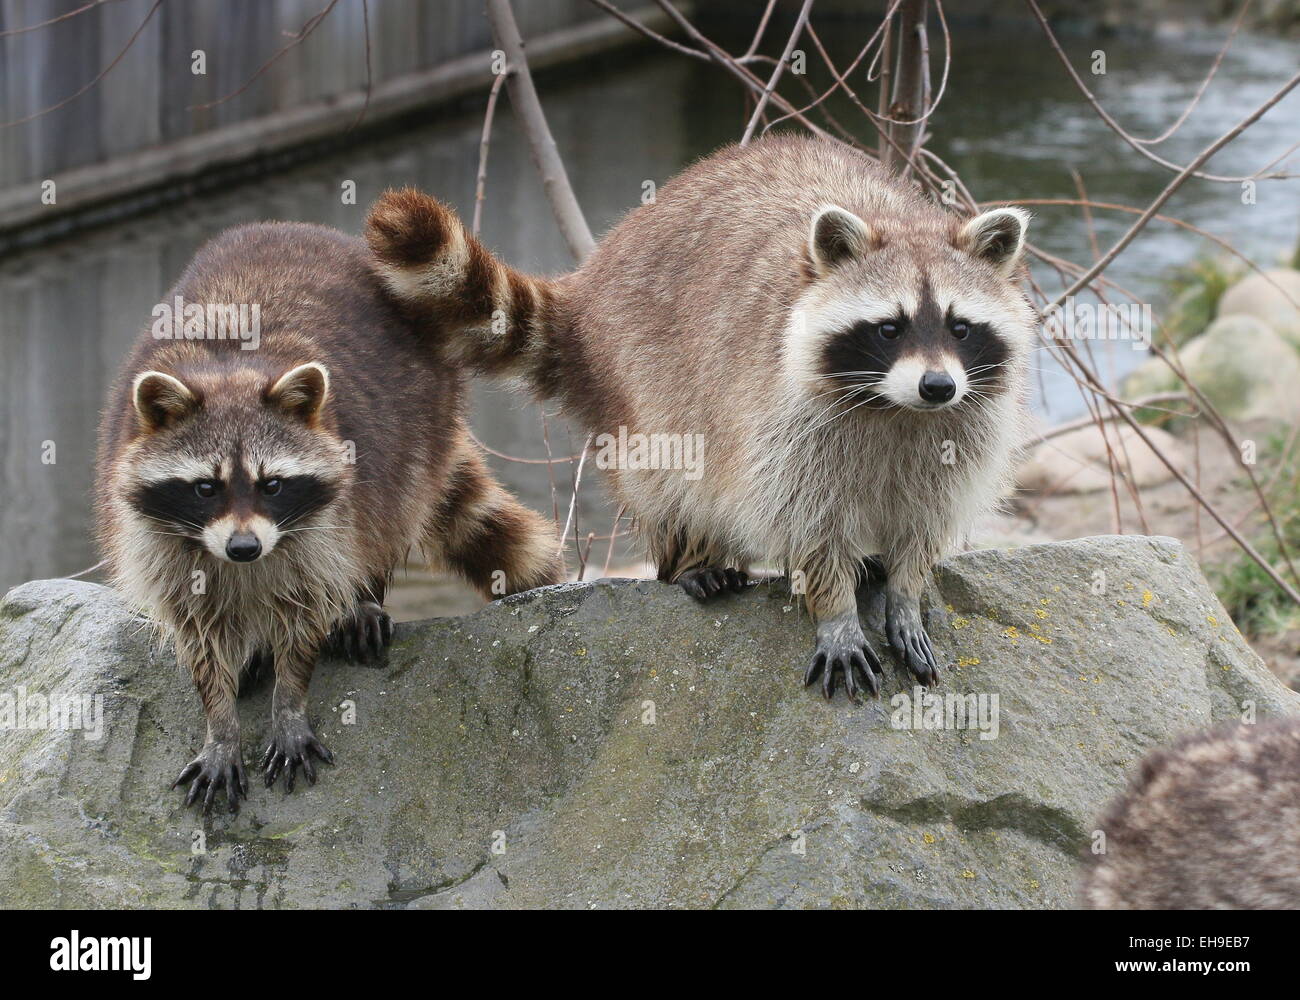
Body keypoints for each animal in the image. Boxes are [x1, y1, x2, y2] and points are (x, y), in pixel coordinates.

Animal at [91, 221, 559, 811]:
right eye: (205, 488)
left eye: (272, 484)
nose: (244, 549)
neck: (230, 367)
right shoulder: (159, 542)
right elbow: (200, 635)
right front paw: (220, 721)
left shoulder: (330, 521)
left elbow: (308, 608)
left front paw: (289, 701)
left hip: (423, 417)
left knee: (391, 513)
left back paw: (363, 599)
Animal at [366, 136, 1034, 697]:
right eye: (890, 328)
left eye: (960, 326)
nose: (938, 386)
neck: (896, 409)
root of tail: (592, 284)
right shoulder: (778, 409)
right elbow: (803, 515)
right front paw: (835, 607)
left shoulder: (964, 427)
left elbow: (928, 517)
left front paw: (905, 590)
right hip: (641, 371)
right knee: (672, 466)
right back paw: (689, 556)